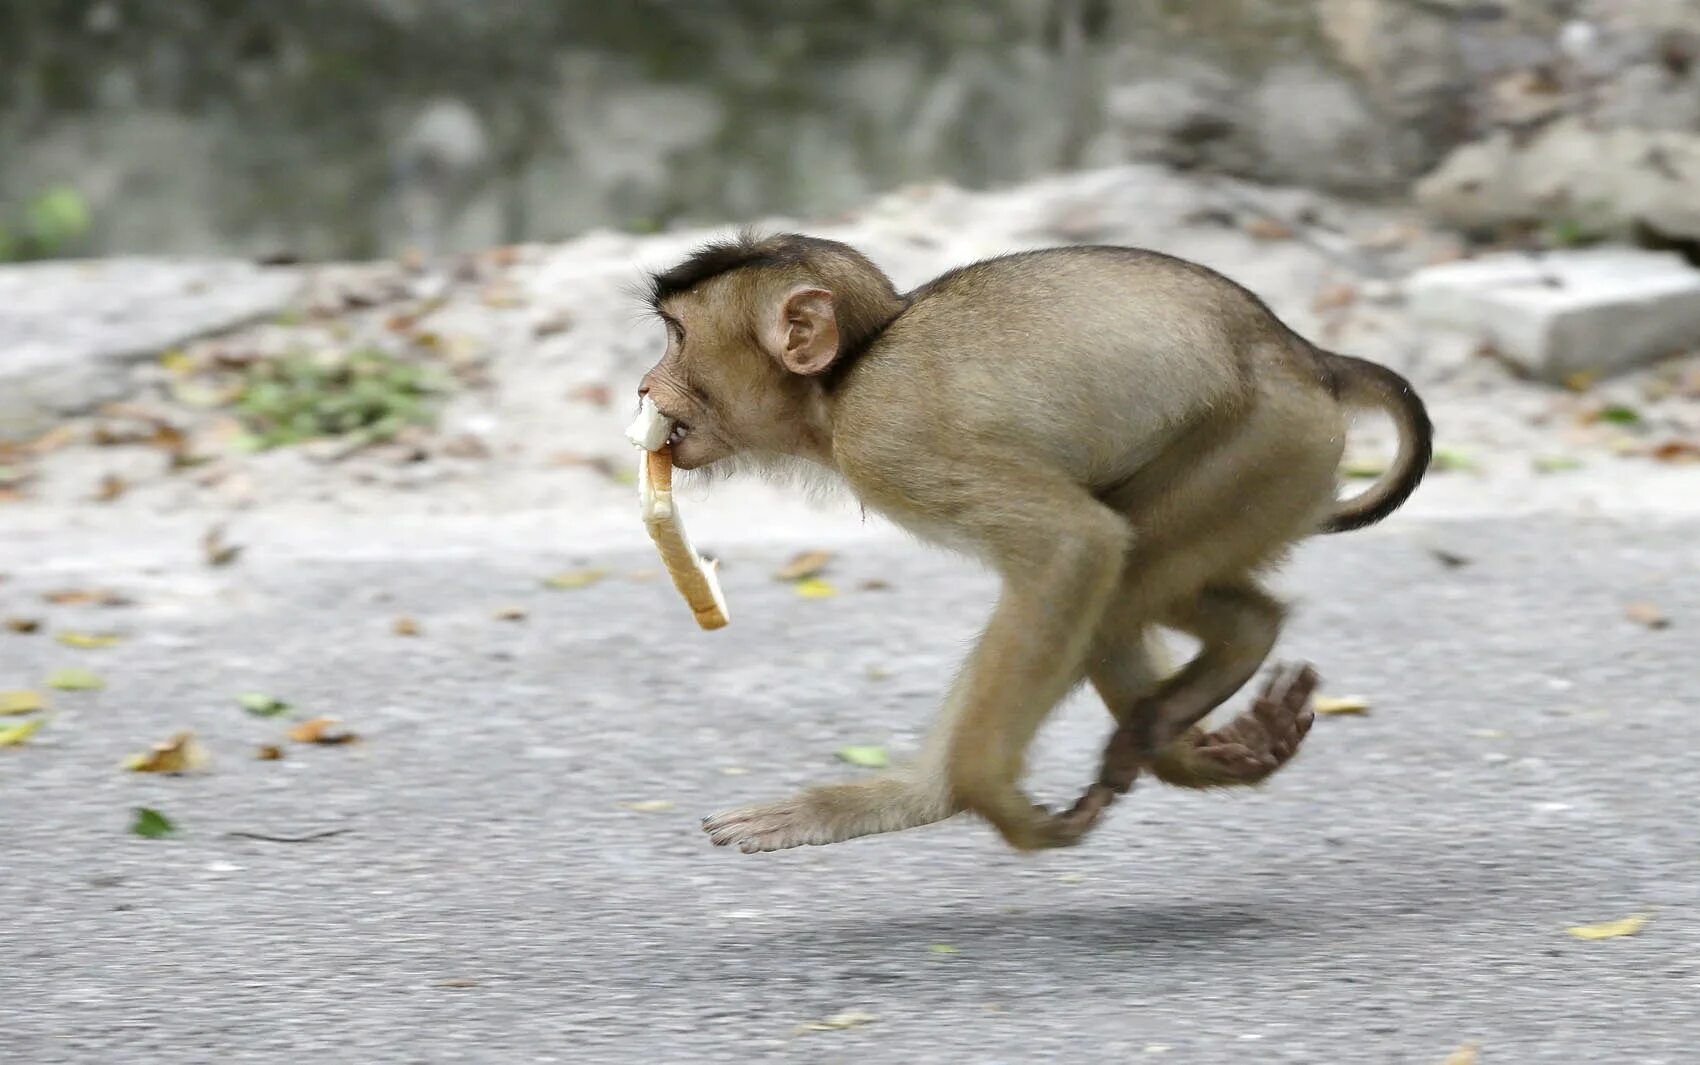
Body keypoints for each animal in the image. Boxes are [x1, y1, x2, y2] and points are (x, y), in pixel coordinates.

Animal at [639, 227, 1434, 850]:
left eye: (677, 339)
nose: (645, 385)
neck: (844, 380)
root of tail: (1304, 355)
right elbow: (1081, 552)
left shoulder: (888, 434)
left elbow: (1070, 545)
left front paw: (984, 798)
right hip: (1279, 469)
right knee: (1144, 575)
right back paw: (1224, 674)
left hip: (1270, 445)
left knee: (1119, 563)